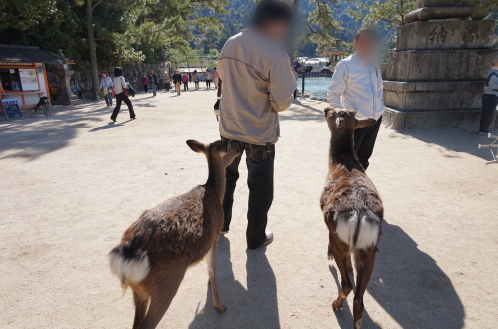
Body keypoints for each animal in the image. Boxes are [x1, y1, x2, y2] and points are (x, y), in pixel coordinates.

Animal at [109, 138, 241, 328]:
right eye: (230, 144)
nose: (241, 147)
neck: (215, 192)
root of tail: (128, 255)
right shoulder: (214, 237)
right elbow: (212, 271)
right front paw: (219, 306)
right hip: (166, 285)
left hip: (139, 290)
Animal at [320, 108, 384, 328]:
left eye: (332, 113)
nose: (325, 109)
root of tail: (359, 217)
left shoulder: (328, 227)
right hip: (369, 249)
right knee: (359, 299)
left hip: (338, 238)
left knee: (347, 284)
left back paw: (335, 304)